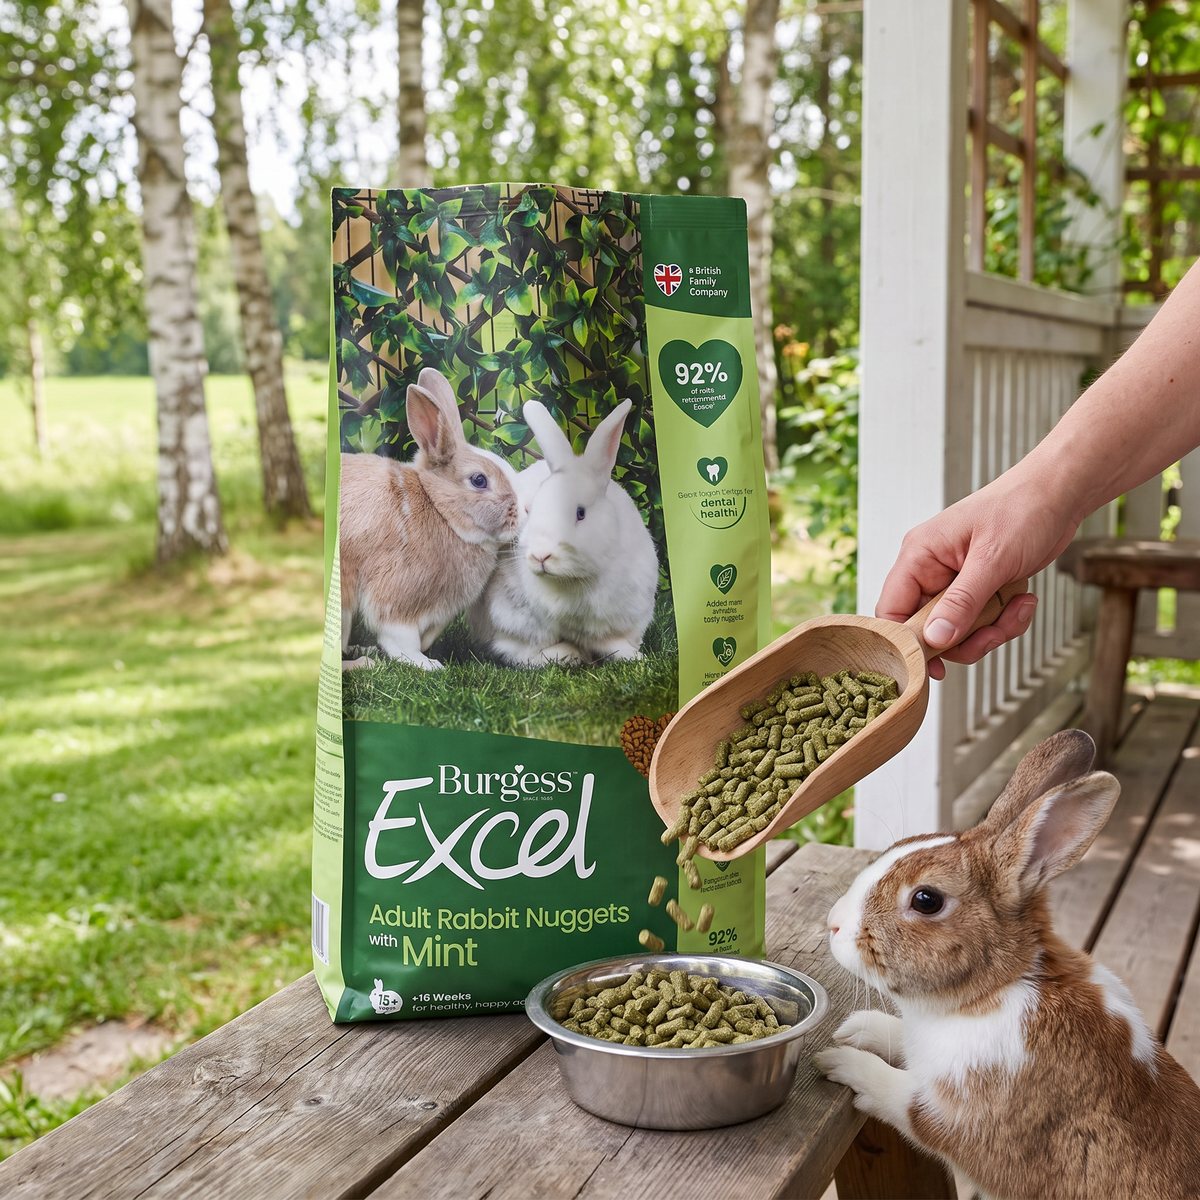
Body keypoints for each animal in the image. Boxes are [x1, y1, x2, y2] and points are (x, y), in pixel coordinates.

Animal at [339, 367, 520, 670]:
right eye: (479, 480)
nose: (524, 511)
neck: (439, 510)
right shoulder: (397, 596)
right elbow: (400, 640)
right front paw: (428, 665)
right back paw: (362, 663)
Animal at [469, 398, 658, 667]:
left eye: (580, 513)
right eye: (530, 510)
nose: (540, 556)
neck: (575, 579)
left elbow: (613, 643)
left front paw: (635, 656)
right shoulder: (511, 619)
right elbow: (522, 652)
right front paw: (571, 653)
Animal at [813, 728, 1200, 1200]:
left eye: (926, 899)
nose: (833, 923)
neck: (1001, 986)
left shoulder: (959, 1119)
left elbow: (900, 1098)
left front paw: (840, 1061)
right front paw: (858, 1029)